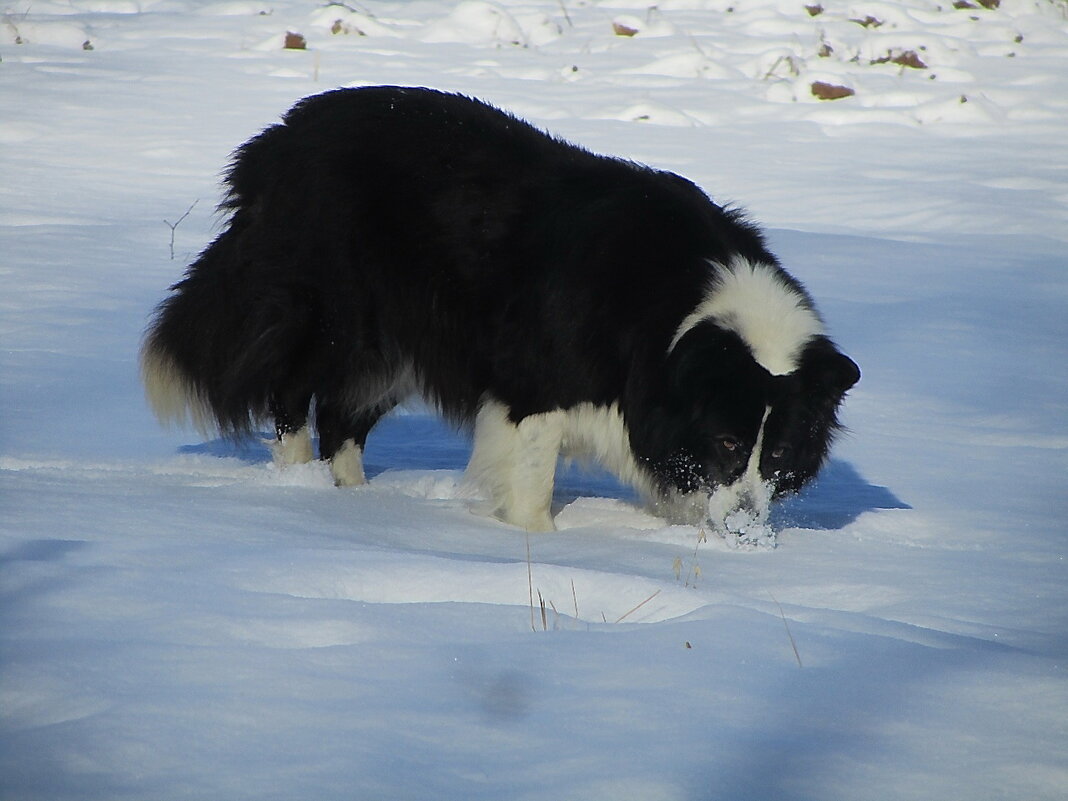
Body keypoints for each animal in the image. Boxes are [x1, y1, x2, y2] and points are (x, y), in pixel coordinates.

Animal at [142, 87, 858, 534]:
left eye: (781, 450)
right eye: (730, 439)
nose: (745, 520)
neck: (675, 313)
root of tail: (272, 143)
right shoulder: (539, 383)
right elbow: (533, 480)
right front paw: (536, 542)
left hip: (395, 348)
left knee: (343, 416)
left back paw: (360, 504)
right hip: (335, 315)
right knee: (293, 395)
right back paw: (300, 492)